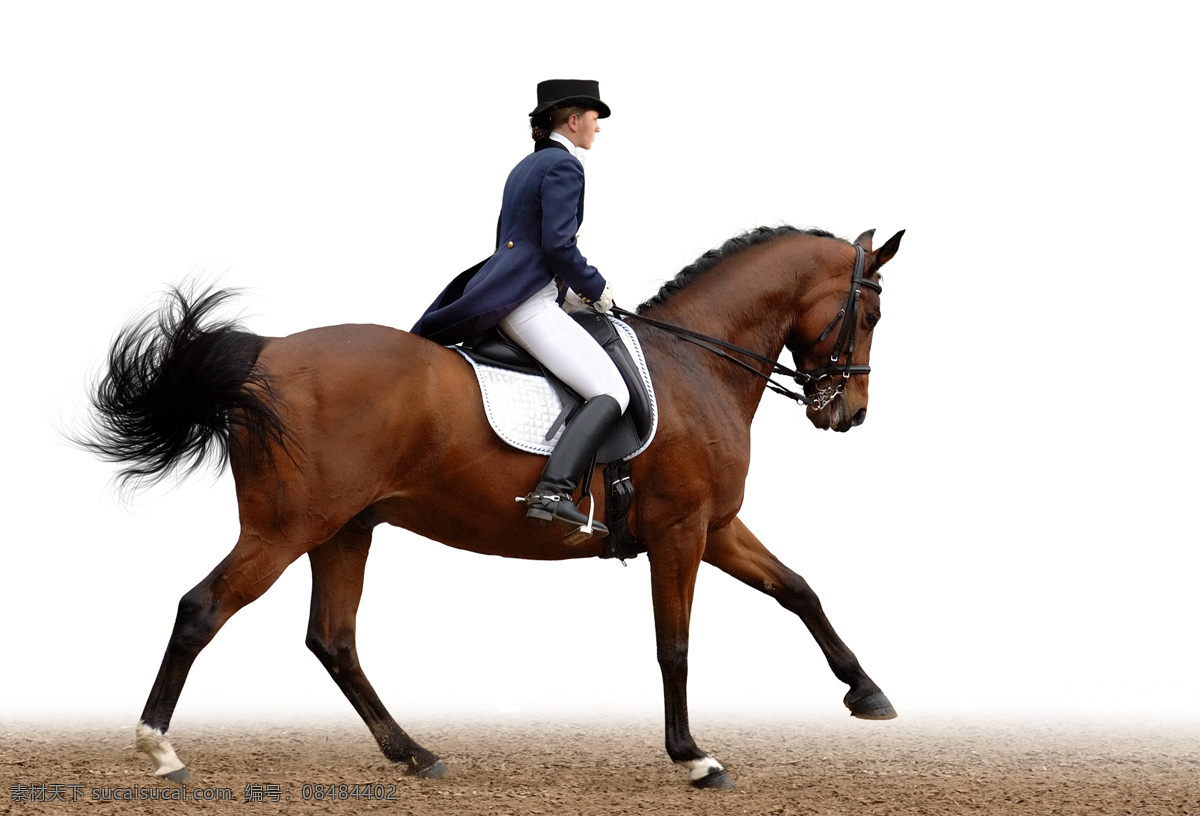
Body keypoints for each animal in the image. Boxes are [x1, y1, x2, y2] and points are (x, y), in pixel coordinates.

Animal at [78, 224, 904, 791]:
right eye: (869, 316)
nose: (849, 414)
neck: (696, 361)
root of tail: (267, 353)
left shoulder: (717, 526)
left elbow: (797, 589)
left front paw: (866, 691)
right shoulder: (682, 531)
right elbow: (675, 645)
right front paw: (693, 757)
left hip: (344, 529)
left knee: (333, 640)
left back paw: (414, 753)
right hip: (286, 529)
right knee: (203, 609)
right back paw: (160, 749)